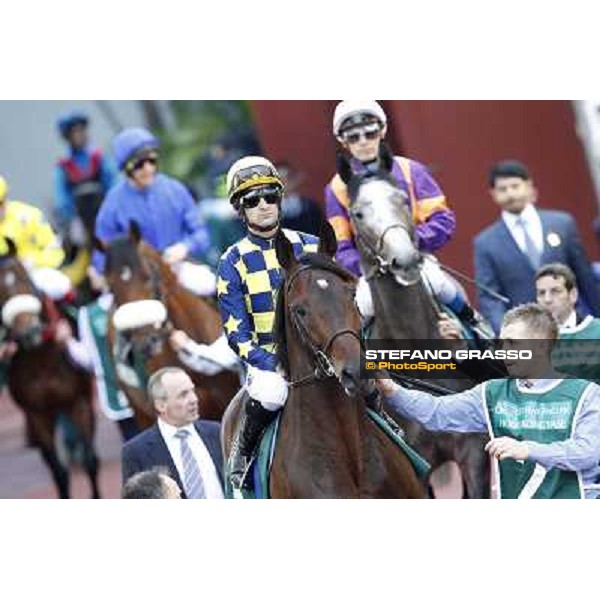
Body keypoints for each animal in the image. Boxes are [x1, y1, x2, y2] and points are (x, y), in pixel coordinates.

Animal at [0, 238, 99, 496]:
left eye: (24, 278)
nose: (29, 332)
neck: (43, 362)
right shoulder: (37, 414)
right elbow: (59, 472)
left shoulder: (80, 402)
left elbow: (90, 461)